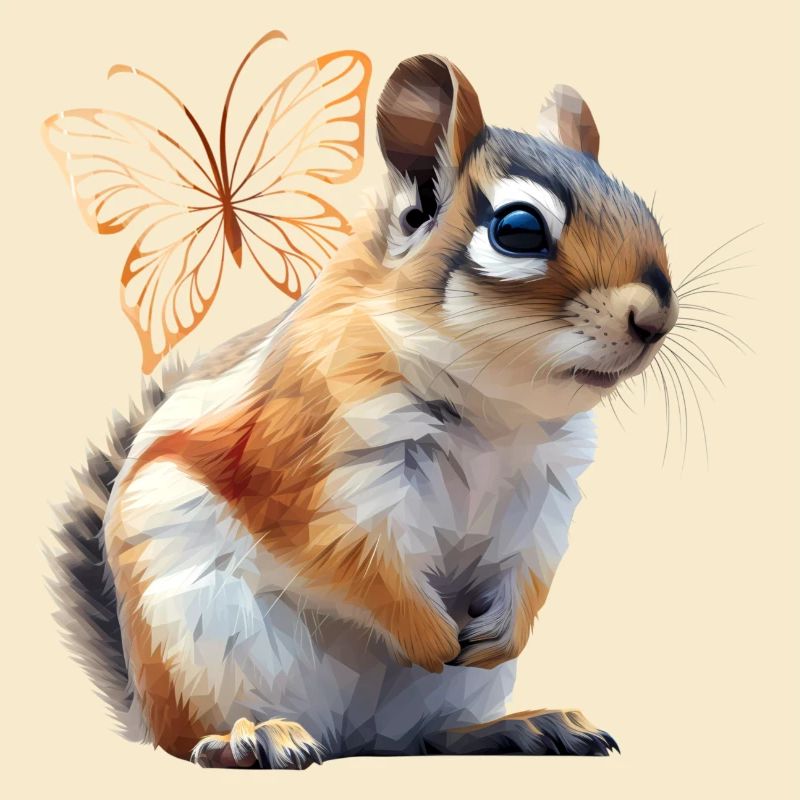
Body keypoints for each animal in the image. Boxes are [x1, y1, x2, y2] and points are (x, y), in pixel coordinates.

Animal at [51, 54, 678, 768]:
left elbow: (532, 566)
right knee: (192, 740)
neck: (498, 412)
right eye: (518, 229)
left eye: (643, 210)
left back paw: (523, 726)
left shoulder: (546, 489)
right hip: (202, 645)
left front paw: (504, 632)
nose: (655, 318)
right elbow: (354, 560)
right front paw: (430, 633)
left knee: (429, 739)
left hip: (445, 699)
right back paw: (250, 737)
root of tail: (353, 739)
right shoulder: (317, 457)